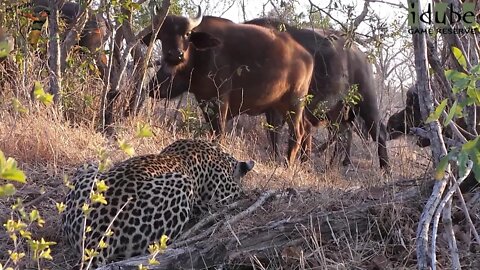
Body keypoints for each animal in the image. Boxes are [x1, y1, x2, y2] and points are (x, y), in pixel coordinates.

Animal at [144, 8, 314, 165]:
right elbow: (213, 130)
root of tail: (307, 56)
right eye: (163, 34)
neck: (201, 55)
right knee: (290, 130)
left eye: (187, 34)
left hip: (295, 103)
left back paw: (288, 163)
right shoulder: (204, 99)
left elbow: (219, 131)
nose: (175, 55)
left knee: (297, 133)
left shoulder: (221, 99)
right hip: (277, 107)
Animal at [244, 19, 390, 170]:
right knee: (343, 133)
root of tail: (360, 53)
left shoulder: (278, 109)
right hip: (336, 111)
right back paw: (334, 164)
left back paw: (385, 168)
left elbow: (277, 133)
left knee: (378, 132)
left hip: (366, 100)